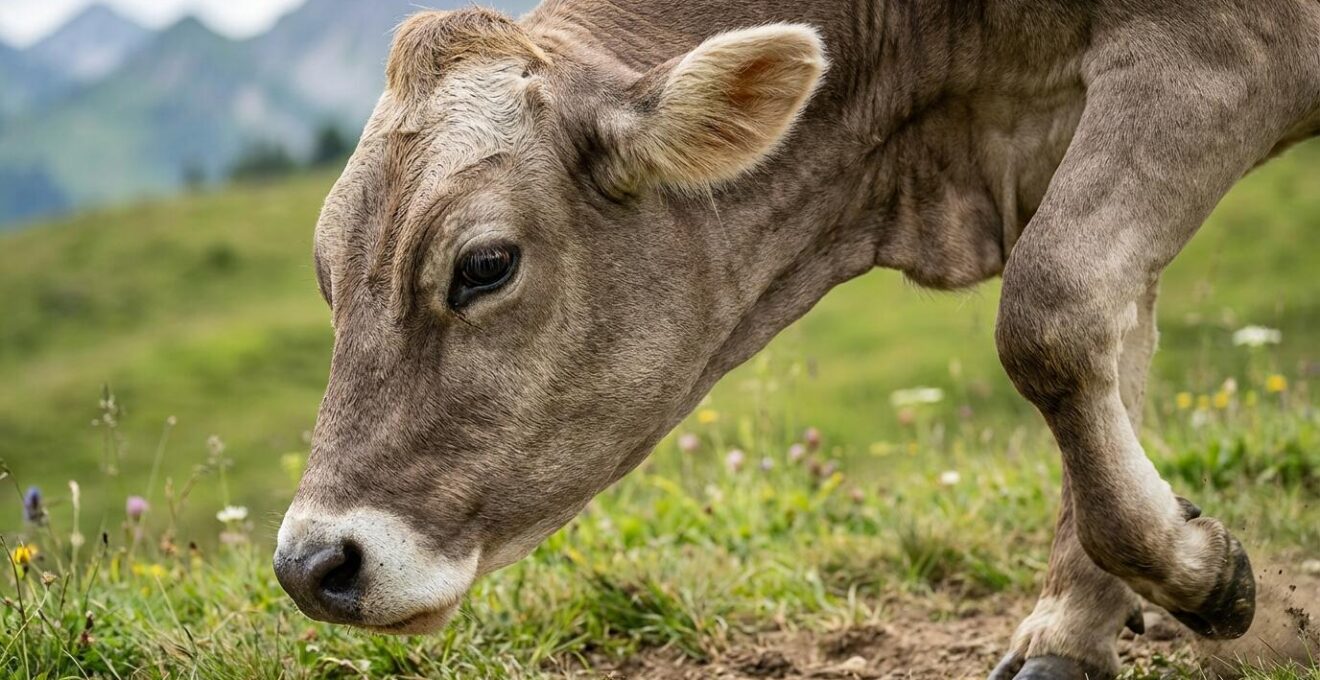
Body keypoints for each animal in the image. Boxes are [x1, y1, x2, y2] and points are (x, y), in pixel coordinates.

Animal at [272, 1, 1320, 677]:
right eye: (326, 275)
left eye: (484, 265)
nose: (311, 566)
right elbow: (1111, 337)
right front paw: (1074, 626)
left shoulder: (1214, 51)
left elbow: (1048, 315)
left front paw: (1200, 579)